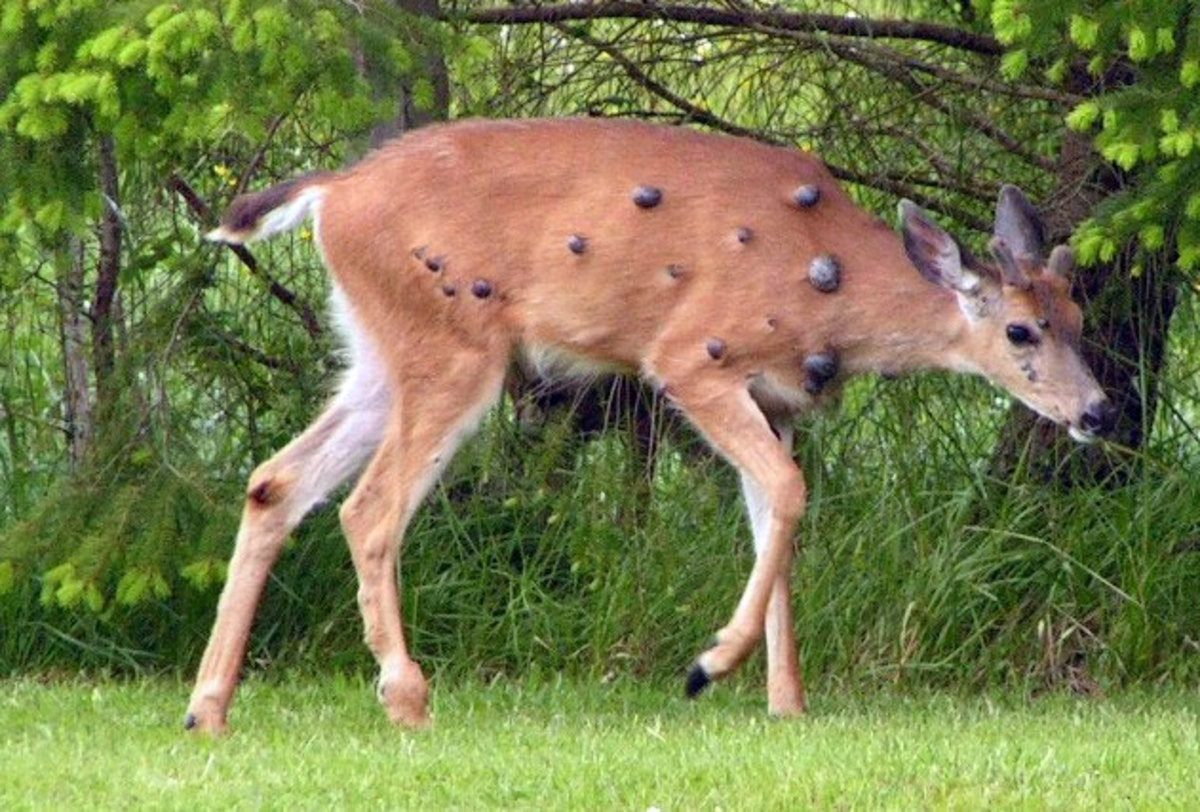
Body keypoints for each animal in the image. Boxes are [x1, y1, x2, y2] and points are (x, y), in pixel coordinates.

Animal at [184, 116, 1113, 729]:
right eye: (1021, 330)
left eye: (1077, 315)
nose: (1099, 411)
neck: (828, 285)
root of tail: (332, 193)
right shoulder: (694, 356)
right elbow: (789, 492)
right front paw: (709, 667)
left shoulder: (777, 399)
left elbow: (772, 517)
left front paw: (786, 703)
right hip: (452, 345)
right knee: (367, 507)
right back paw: (408, 700)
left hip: (379, 354)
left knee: (275, 482)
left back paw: (209, 709)